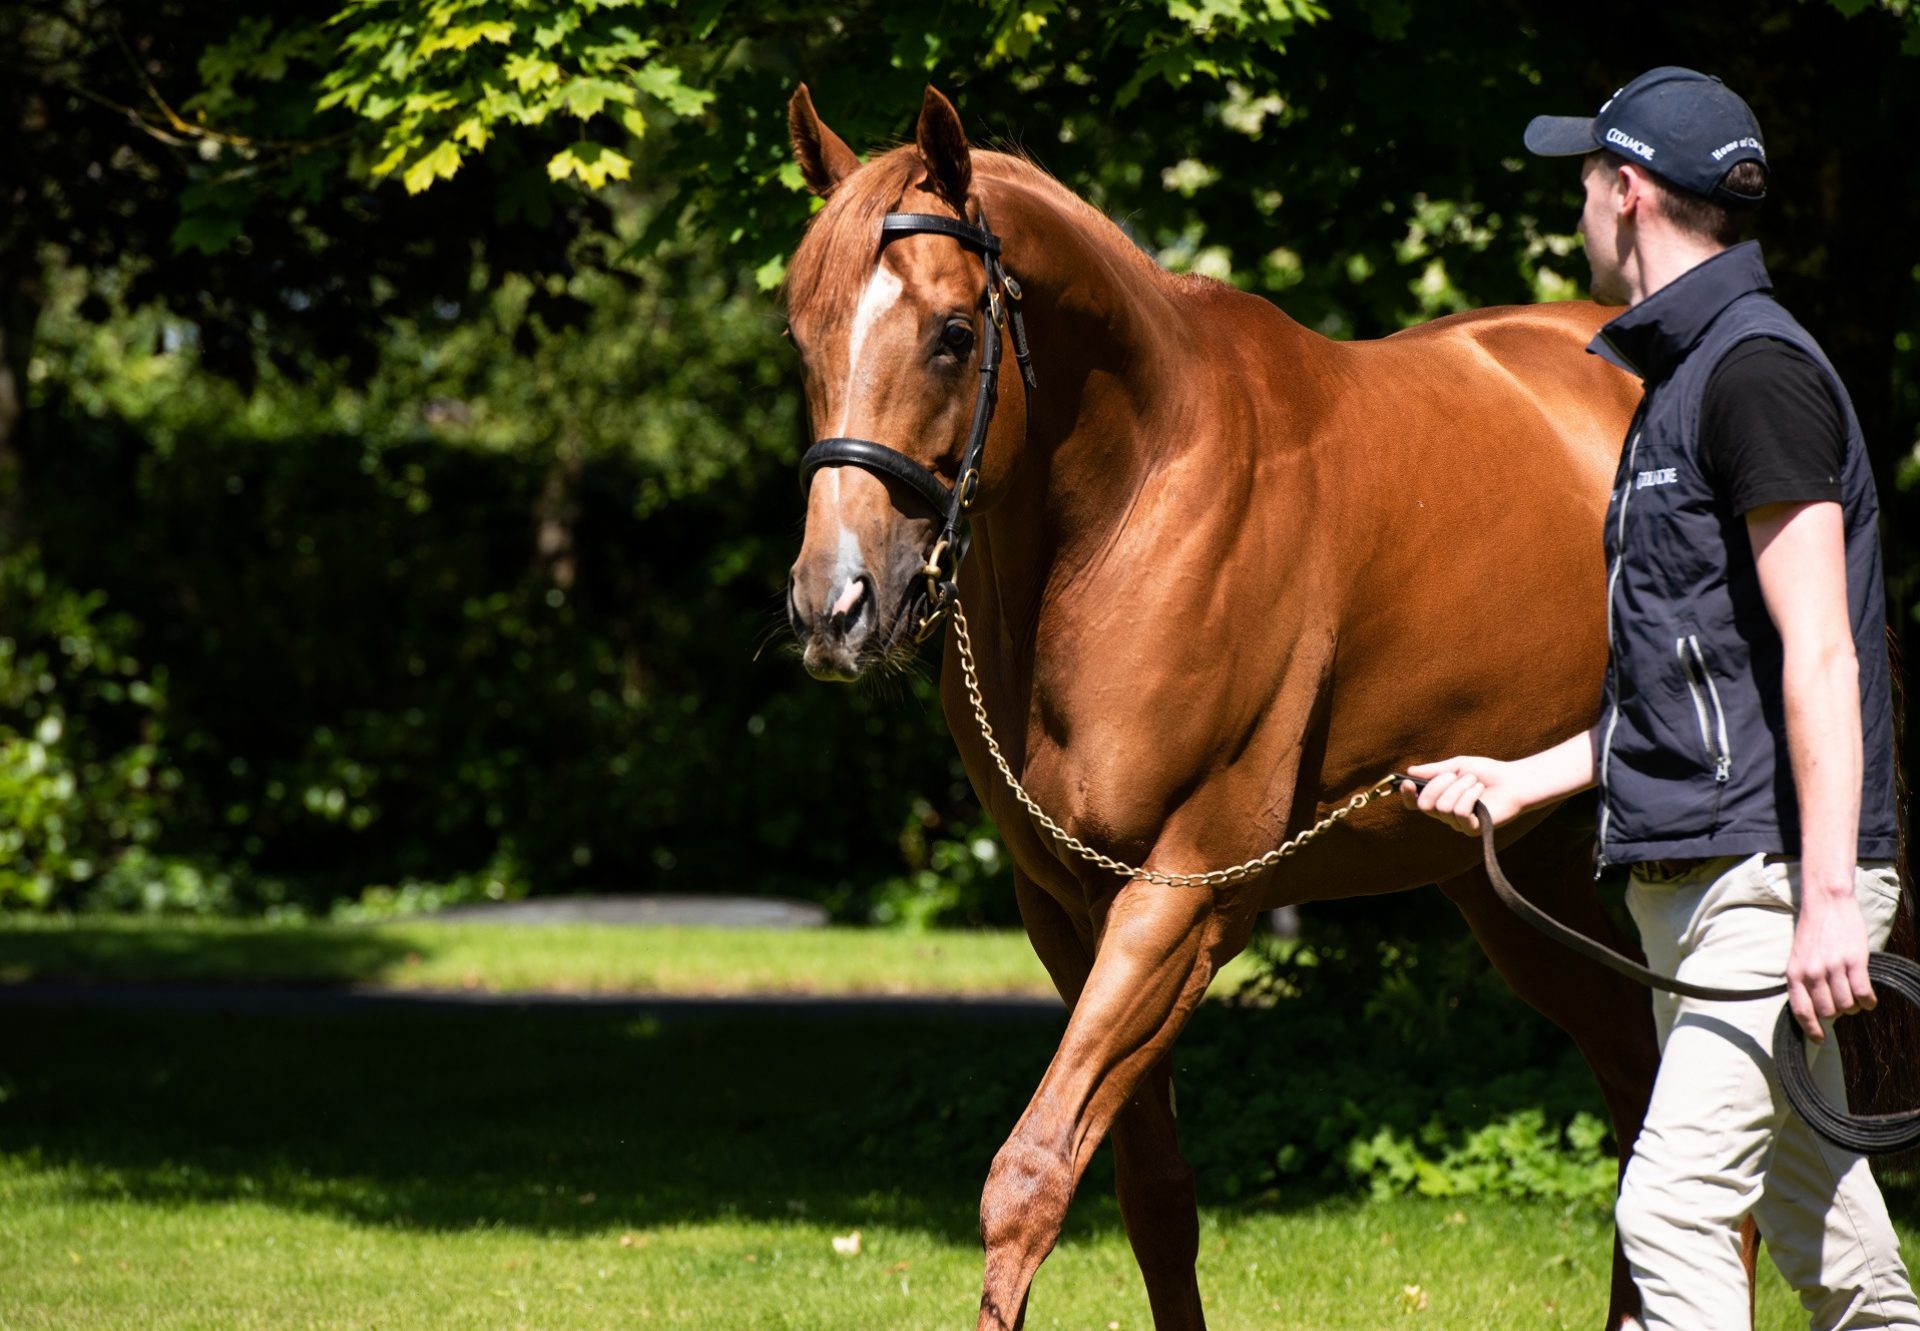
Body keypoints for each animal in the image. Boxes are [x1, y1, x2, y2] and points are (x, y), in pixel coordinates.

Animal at [787, 88, 1658, 1321]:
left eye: (954, 333)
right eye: (800, 335)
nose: (836, 604)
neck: (1135, 503)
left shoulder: (1185, 898)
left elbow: (1029, 1176)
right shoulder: (1067, 908)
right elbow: (1151, 1191)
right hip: (1526, 876)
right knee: (1640, 1082)